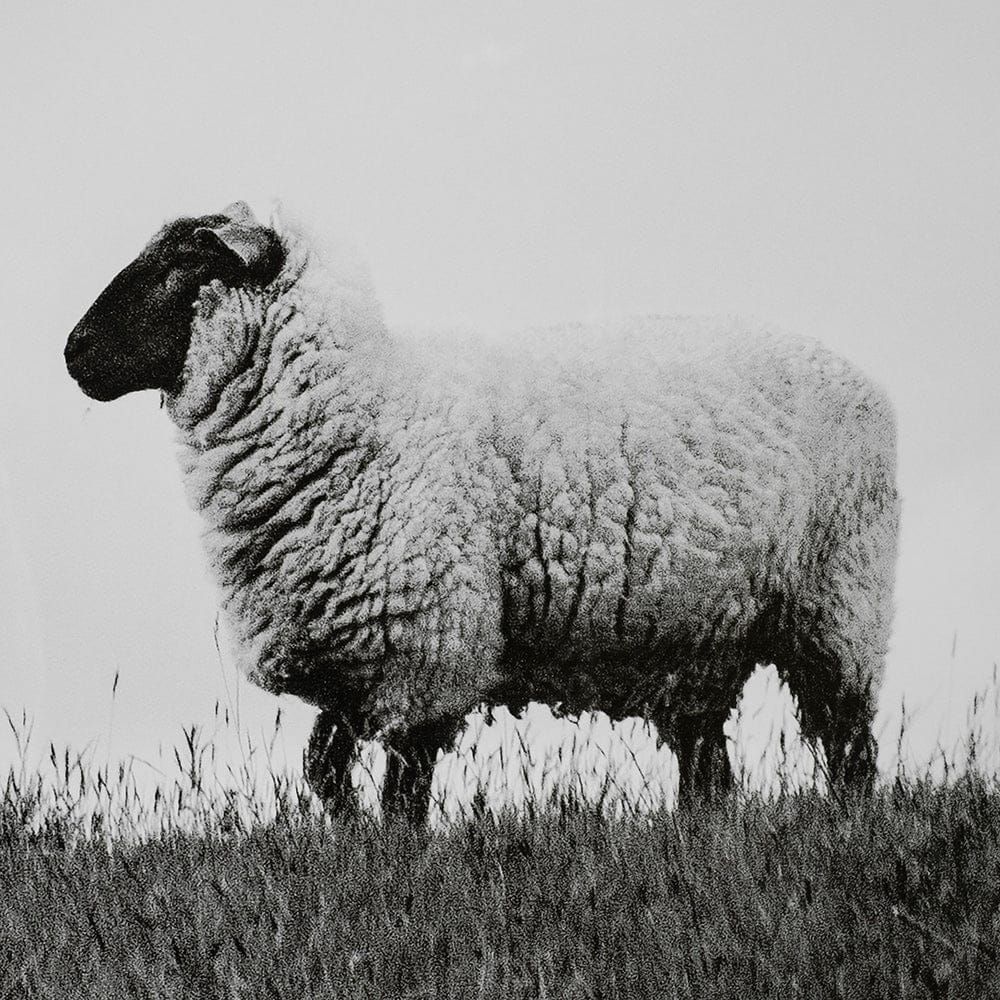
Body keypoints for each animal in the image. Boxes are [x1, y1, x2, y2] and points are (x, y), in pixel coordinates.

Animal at [65, 201, 900, 822]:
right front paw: (348, 840)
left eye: (185, 262)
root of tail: (859, 374)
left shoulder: (427, 648)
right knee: (708, 773)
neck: (368, 410)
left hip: (836, 604)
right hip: (696, 638)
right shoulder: (354, 657)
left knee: (850, 750)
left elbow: (401, 797)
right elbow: (323, 772)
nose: (73, 352)